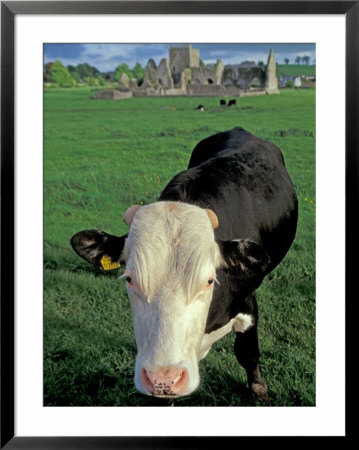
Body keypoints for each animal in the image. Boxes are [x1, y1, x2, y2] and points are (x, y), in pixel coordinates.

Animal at [70, 127, 298, 404]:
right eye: (130, 278)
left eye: (210, 280)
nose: (163, 378)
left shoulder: (248, 300)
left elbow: (247, 352)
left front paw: (259, 390)